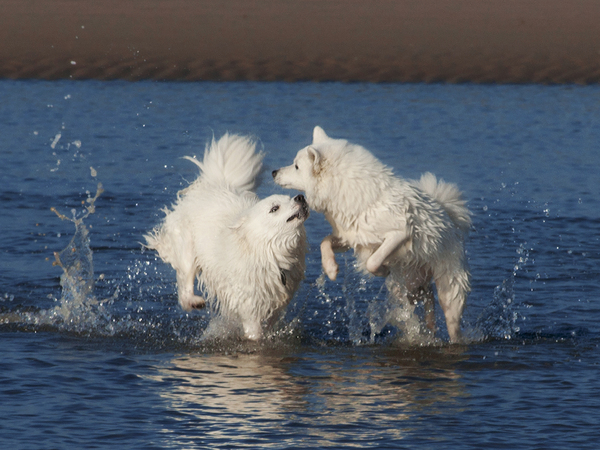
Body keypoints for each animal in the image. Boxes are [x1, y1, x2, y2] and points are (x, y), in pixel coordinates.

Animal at [144, 135, 310, 340]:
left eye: (289, 198)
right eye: (274, 208)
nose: (300, 197)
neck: (268, 252)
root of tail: (214, 184)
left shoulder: (276, 300)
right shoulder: (249, 305)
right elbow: (255, 334)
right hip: (188, 249)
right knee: (185, 284)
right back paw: (193, 301)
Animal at [274, 126, 474, 342]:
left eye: (296, 166)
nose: (274, 171)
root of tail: (451, 218)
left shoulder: (400, 233)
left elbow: (373, 261)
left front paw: (382, 270)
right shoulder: (351, 237)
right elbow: (324, 242)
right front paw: (331, 268)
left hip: (449, 293)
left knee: (451, 323)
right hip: (411, 280)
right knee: (426, 297)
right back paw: (428, 328)